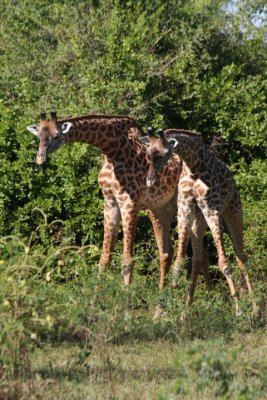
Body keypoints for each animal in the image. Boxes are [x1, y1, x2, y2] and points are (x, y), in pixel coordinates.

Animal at [142, 128, 260, 316]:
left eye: (163, 154)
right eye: (148, 154)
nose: (150, 180)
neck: (192, 165)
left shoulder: (211, 211)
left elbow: (223, 263)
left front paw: (238, 311)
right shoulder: (184, 211)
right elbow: (179, 262)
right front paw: (168, 305)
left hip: (233, 211)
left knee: (241, 256)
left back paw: (255, 310)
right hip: (198, 221)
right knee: (197, 258)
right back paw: (186, 312)